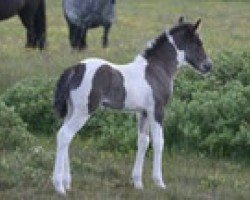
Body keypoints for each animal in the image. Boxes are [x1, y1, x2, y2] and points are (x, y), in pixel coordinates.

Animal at [52, 17, 213, 195]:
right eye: (198, 43)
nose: (208, 66)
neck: (157, 69)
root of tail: (75, 68)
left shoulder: (143, 112)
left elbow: (143, 141)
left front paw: (138, 183)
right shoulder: (157, 110)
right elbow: (158, 142)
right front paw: (159, 182)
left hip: (72, 110)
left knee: (66, 137)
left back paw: (67, 182)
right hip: (83, 111)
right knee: (64, 135)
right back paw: (59, 187)